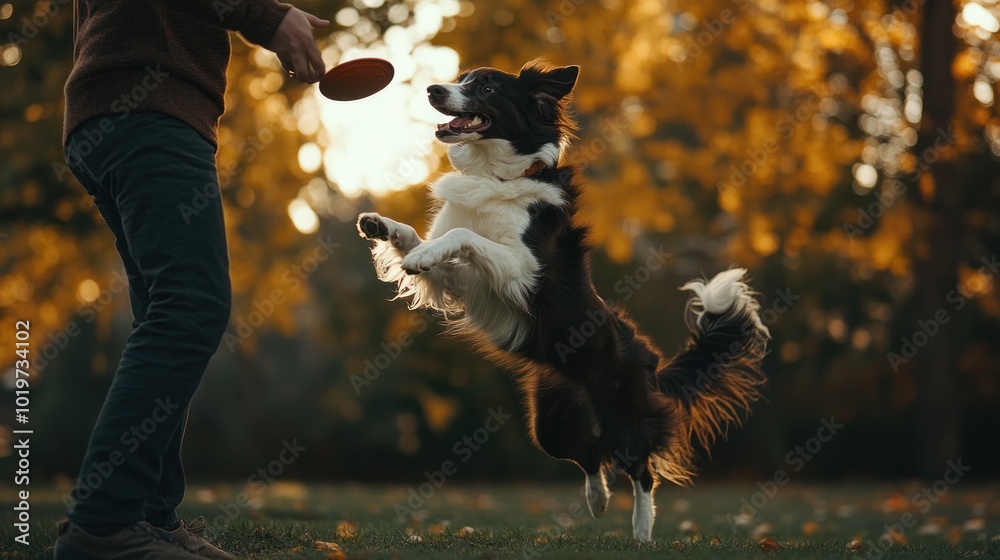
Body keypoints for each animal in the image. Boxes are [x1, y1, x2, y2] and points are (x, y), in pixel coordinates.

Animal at [360, 61, 772, 544]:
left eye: (486, 87)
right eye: (460, 78)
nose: (433, 90)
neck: (495, 175)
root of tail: (650, 362)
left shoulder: (524, 271)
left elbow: (461, 236)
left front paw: (419, 254)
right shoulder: (465, 281)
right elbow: (424, 239)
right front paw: (382, 227)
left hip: (622, 417)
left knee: (641, 469)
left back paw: (642, 532)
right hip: (549, 423)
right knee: (589, 455)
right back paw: (598, 501)